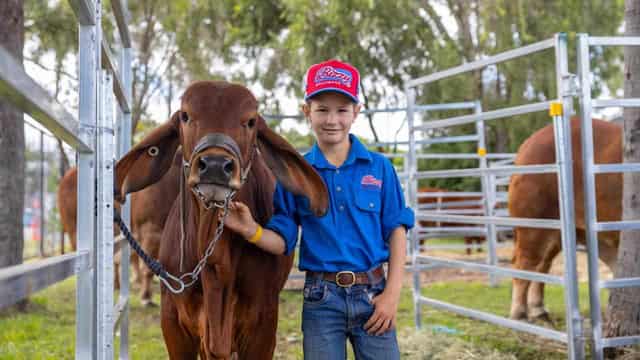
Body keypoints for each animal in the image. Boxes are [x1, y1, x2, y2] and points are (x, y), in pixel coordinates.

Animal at [114, 81, 330, 360]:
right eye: (185, 116)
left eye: (250, 121)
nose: (215, 165)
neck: (216, 265)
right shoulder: (173, 322)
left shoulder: (264, 324)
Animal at [504, 118, 620, 320]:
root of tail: (527, 144)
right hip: (534, 224)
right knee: (524, 264)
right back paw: (519, 313)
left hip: (556, 232)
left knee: (542, 265)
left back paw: (539, 310)